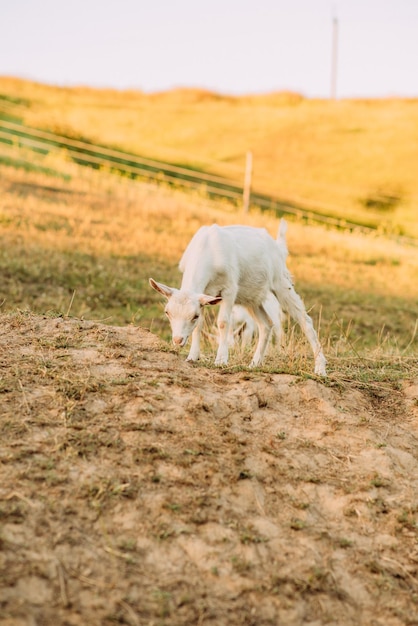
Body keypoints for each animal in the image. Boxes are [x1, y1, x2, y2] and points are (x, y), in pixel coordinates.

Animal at [149, 219, 326, 376]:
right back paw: (254, 364)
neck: (208, 249)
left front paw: (221, 360)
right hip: (252, 298)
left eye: (193, 316)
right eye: (167, 313)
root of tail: (277, 247)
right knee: (266, 324)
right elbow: (199, 326)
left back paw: (320, 369)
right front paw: (192, 357)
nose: (178, 340)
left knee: (304, 320)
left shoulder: (229, 290)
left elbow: (223, 322)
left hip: (281, 283)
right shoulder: (204, 295)